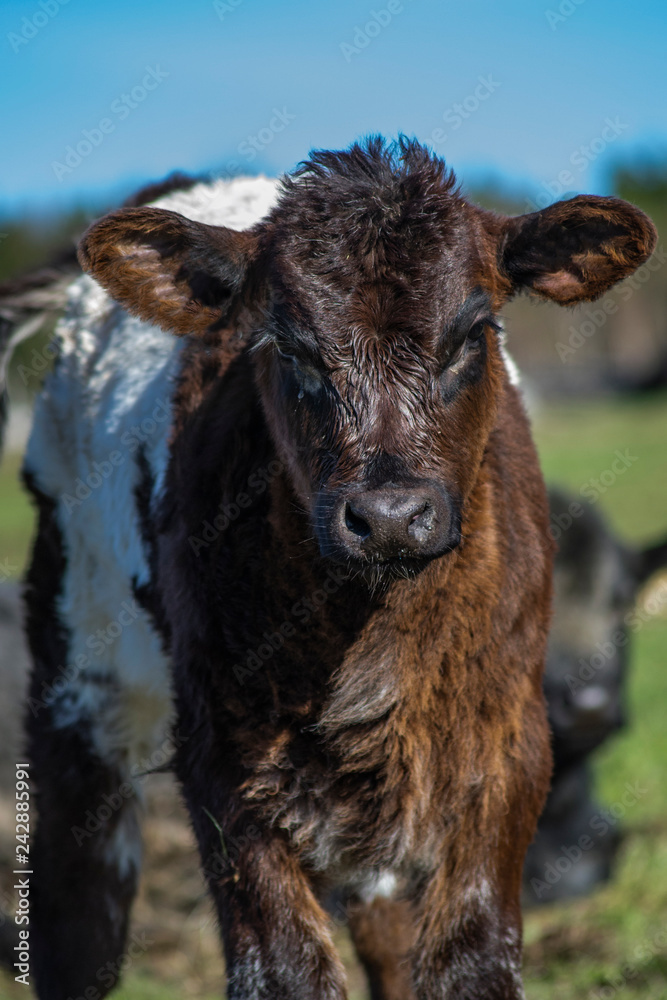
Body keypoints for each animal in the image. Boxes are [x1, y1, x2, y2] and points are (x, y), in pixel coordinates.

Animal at [18, 137, 656, 999]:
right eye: (288, 346)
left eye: (474, 331)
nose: (387, 516)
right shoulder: (220, 750)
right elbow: (285, 967)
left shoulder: (508, 743)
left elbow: (471, 956)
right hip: (77, 661)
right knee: (79, 910)